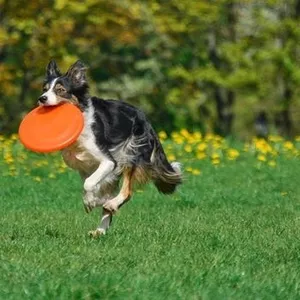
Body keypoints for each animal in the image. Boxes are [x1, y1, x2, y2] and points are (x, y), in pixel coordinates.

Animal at [38, 59, 183, 236]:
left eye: (60, 90)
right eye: (44, 89)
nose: (42, 98)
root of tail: (146, 120)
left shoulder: (108, 161)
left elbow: (89, 183)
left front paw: (90, 202)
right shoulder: (84, 166)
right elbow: (89, 184)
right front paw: (92, 200)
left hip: (130, 153)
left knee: (127, 192)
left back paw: (111, 205)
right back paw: (100, 230)